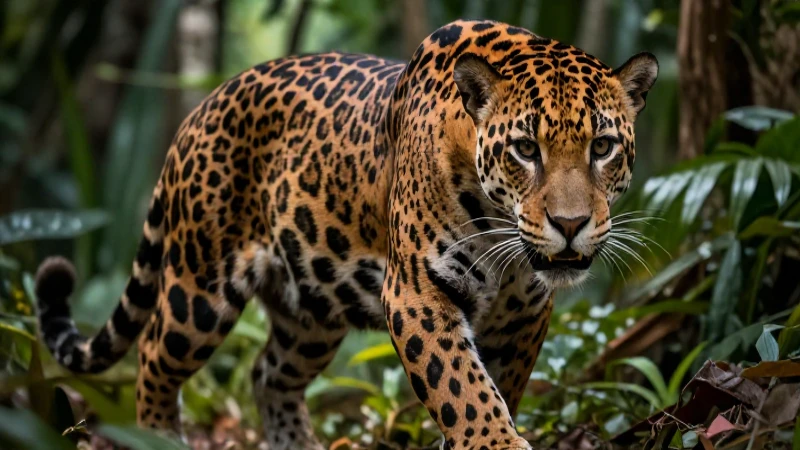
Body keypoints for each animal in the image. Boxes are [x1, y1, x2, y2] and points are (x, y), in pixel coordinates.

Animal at [34, 19, 657, 450]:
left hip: (310, 312)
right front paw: (494, 442)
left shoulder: (525, 312)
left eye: (602, 147)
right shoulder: (417, 293)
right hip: (199, 288)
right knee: (154, 357)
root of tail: (200, 109)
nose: (570, 226)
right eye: (526, 150)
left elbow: (497, 386)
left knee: (268, 373)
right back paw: (158, 436)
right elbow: (463, 388)